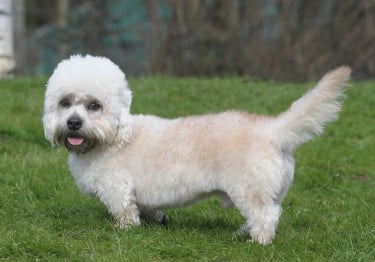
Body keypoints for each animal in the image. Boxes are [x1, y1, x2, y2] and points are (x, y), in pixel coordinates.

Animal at [42, 54, 352, 245]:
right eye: (65, 102)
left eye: (94, 105)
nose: (73, 123)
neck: (114, 136)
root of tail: (272, 130)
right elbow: (147, 209)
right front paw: (156, 220)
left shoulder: (116, 189)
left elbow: (124, 212)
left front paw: (124, 229)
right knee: (265, 213)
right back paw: (244, 232)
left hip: (249, 190)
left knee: (267, 215)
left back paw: (258, 241)